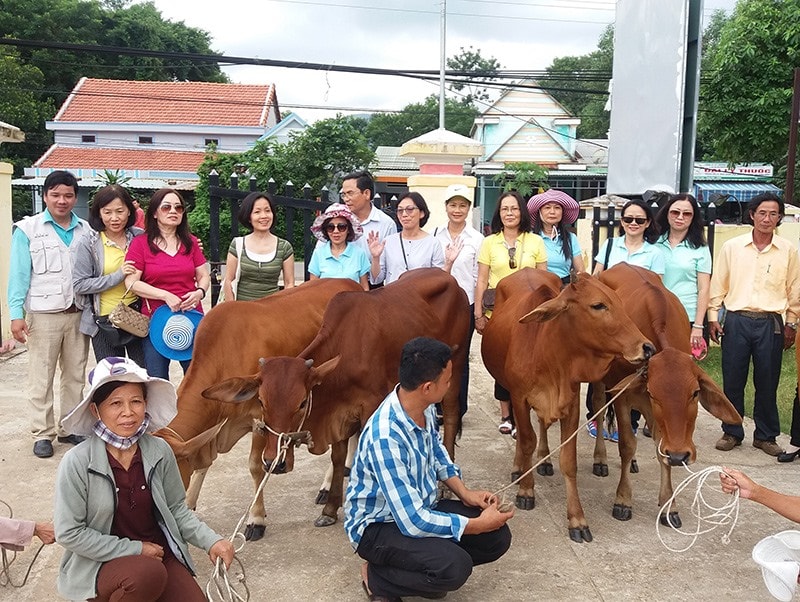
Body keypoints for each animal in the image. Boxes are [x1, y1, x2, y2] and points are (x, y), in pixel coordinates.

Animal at [153, 278, 360, 540]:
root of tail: (351, 282)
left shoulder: (259, 419)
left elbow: (256, 466)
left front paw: (256, 518)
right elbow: (203, 465)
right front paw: (189, 504)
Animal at [203, 268, 472, 524]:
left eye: (302, 403)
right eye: (261, 401)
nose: (273, 462)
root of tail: (452, 281)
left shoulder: (370, 404)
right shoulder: (340, 412)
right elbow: (337, 456)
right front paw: (330, 508)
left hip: (455, 367)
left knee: (450, 416)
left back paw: (446, 484)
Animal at [478, 268, 652, 540]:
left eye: (618, 301)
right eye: (598, 305)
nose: (646, 347)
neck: (546, 349)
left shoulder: (570, 405)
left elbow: (569, 462)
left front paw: (577, 519)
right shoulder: (519, 398)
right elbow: (526, 441)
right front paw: (525, 491)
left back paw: (544, 460)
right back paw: (519, 467)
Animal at [588, 264, 736, 528]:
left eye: (695, 393)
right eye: (653, 393)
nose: (679, 455)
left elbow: (660, 449)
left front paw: (669, 505)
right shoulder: (625, 397)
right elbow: (627, 444)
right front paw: (623, 500)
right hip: (600, 382)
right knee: (600, 408)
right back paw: (600, 459)